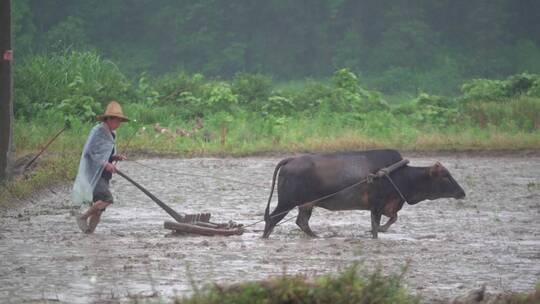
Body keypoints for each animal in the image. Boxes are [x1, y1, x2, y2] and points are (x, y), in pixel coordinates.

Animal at [262, 148, 464, 239]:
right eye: (446, 177)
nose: (462, 193)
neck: (399, 175)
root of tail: (291, 160)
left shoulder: (389, 206)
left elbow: (392, 219)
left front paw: (382, 229)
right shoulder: (377, 205)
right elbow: (375, 226)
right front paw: (376, 232)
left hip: (306, 204)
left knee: (301, 222)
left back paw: (316, 236)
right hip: (286, 202)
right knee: (272, 219)